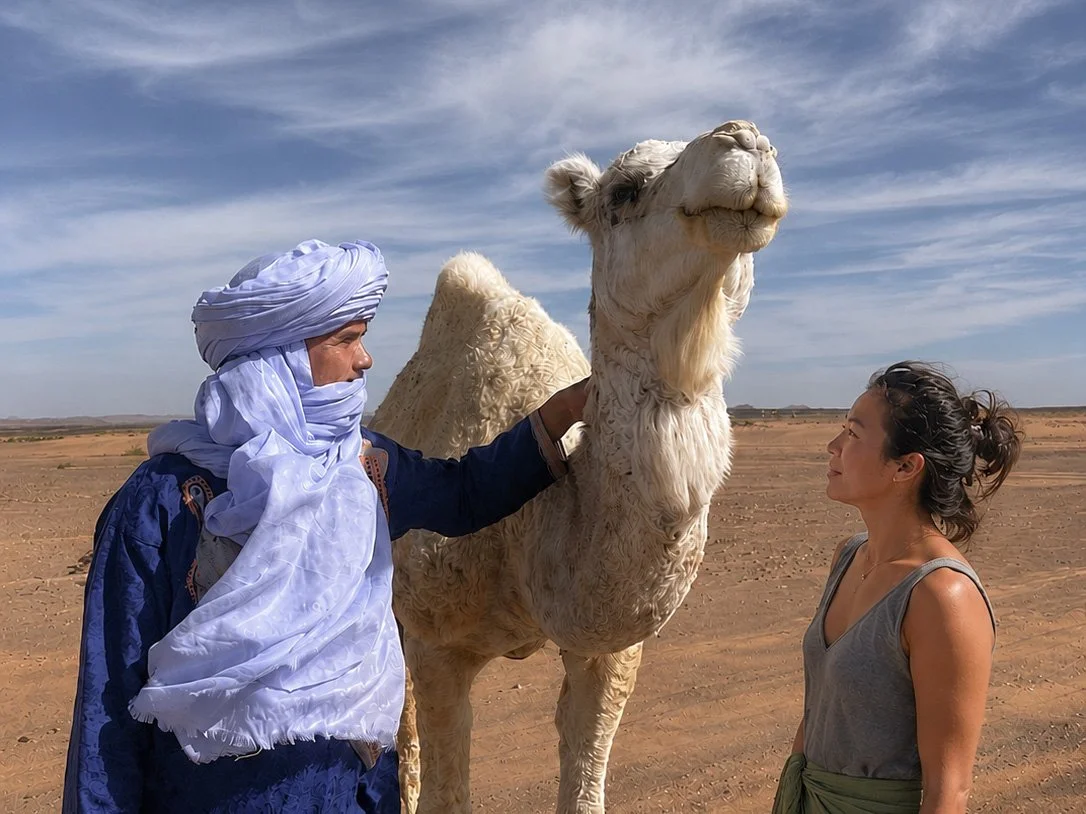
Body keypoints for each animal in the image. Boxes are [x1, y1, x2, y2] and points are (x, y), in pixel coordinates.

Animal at [371, 120, 787, 813]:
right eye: (623, 191)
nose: (745, 140)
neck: (532, 532)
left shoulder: (609, 651)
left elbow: (587, 775)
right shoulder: (435, 641)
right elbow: (447, 788)